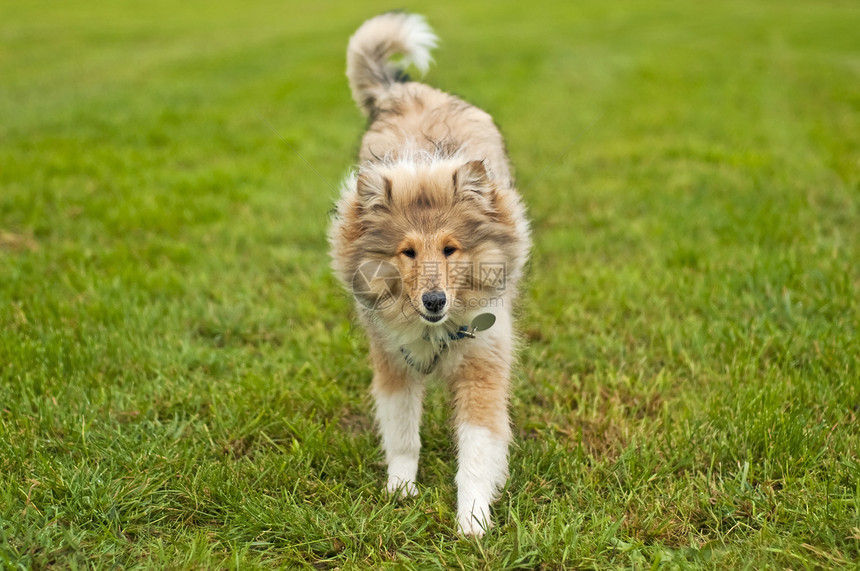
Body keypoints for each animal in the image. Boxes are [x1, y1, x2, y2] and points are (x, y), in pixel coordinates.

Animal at [330, 13, 532, 540]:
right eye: (407, 252)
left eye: (450, 248)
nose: (435, 301)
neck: (435, 331)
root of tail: (406, 89)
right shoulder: (393, 362)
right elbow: (403, 436)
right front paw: (400, 492)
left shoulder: (484, 364)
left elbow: (476, 452)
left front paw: (473, 522)